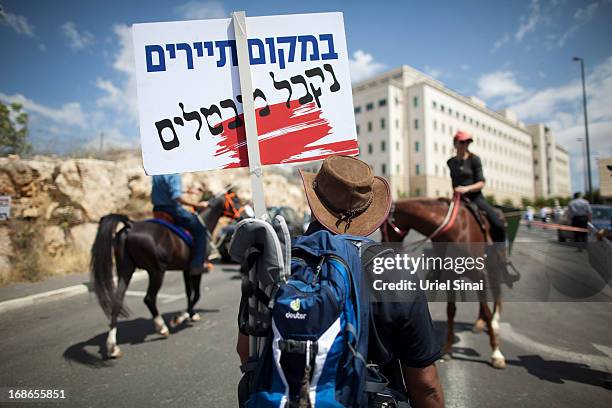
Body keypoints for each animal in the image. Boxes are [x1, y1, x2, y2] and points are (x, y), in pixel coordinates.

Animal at [91, 191, 244, 356]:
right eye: (236, 200)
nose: (244, 216)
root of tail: (130, 226)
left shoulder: (185, 270)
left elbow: (189, 293)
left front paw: (191, 314)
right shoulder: (196, 270)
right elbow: (196, 294)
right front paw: (181, 317)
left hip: (125, 270)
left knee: (117, 301)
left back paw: (112, 345)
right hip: (156, 272)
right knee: (149, 298)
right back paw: (161, 327)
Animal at [382, 197, 506, 370]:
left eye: (383, 228)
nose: (382, 247)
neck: (456, 230)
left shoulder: (478, 274)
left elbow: (487, 312)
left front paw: (496, 353)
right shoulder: (449, 276)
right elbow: (451, 311)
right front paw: (448, 348)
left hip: (493, 263)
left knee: (496, 292)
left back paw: (494, 322)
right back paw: (479, 323)